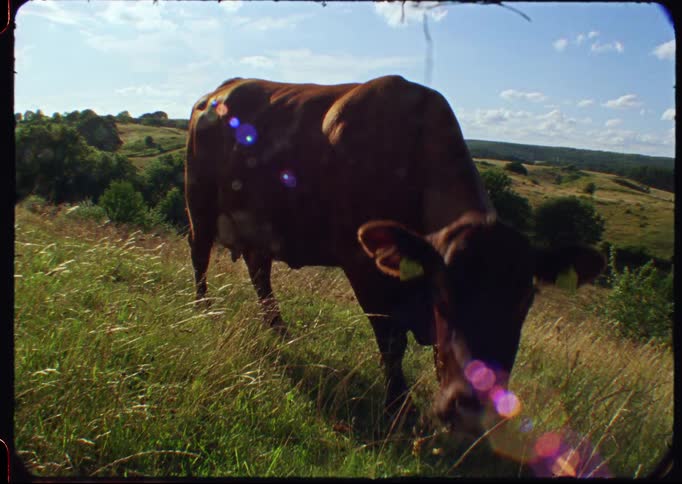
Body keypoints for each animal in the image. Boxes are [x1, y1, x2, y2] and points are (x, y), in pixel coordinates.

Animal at [184, 75, 605, 432]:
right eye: (444, 296)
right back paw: (204, 311)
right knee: (200, 254)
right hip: (198, 203)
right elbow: (391, 342)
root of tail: (220, 90)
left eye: (524, 301)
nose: (473, 407)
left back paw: (279, 330)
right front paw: (399, 407)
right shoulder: (363, 266)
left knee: (259, 270)